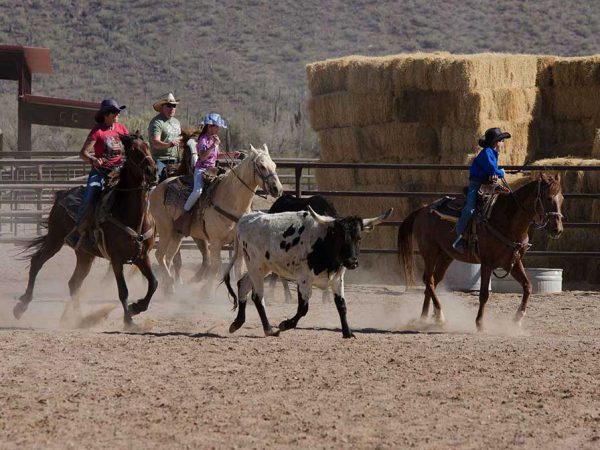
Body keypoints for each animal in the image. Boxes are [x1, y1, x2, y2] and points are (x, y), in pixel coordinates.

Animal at [16, 134, 161, 326]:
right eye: (133, 151)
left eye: (147, 147)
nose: (152, 171)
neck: (130, 214)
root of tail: (61, 195)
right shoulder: (116, 259)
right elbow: (123, 291)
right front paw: (129, 320)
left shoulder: (142, 256)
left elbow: (154, 283)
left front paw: (136, 308)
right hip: (55, 239)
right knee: (36, 262)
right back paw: (22, 306)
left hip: (85, 254)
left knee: (73, 283)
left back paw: (78, 319)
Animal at [149, 142, 282, 294]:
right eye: (262, 166)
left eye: (274, 165)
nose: (277, 189)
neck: (230, 200)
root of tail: (156, 189)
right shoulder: (215, 241)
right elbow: (215, 266)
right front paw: (206, 291)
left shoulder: (238, 244)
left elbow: (239, 268)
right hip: (165, 229)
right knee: (160, 255)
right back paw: (171, 284)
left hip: (177, 234)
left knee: (168, 258)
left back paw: (168, 288)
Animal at [223, 206, 392, 336]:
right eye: (340, 237)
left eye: (359, 238)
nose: (352, 262)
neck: (324, 243)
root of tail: (246, 219)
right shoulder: (304, 279)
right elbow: (303, 308)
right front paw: (285, 324)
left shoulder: (338, 279)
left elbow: (342, 306)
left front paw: (347, 332)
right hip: (255, 266)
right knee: (257, 297)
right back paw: (269, 329)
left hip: (263, 268)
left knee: (242, 285)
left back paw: (237, 323)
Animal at [398, 174, 564, 332]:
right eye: (548, 198)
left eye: (562, 199)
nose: (557, 229)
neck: (507, 221)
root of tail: (422, 210)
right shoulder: (487, 263)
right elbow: (484, 294)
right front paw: (479, 323)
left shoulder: (513, 262)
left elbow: (527, 286)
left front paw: (517, 320)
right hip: (430, 252)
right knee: (428, 279)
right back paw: (439, 316)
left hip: (446, 256)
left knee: (433, 281)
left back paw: (424, 318)